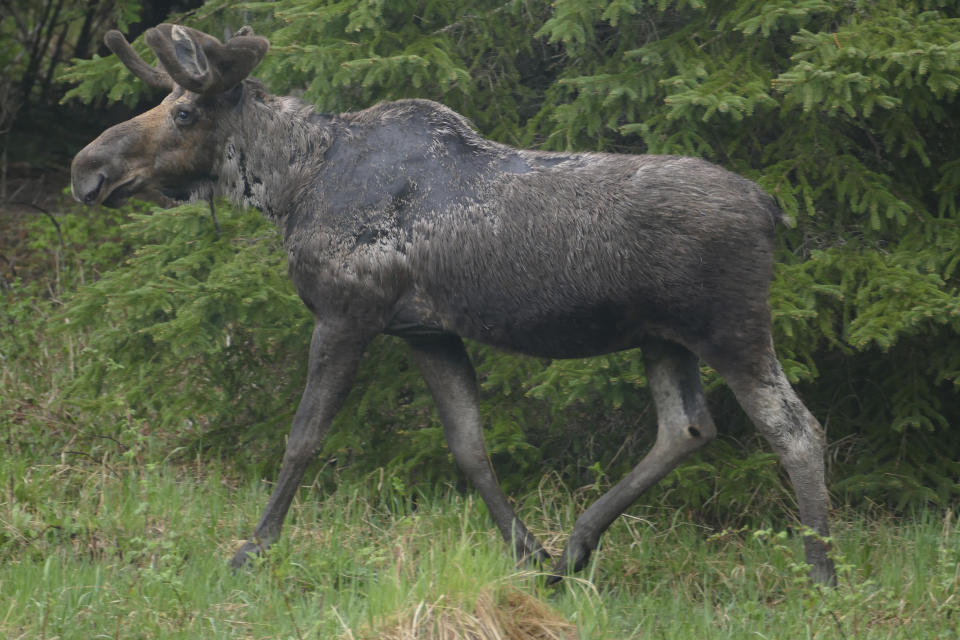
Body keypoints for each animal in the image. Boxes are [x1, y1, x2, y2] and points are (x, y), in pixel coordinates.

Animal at [73, 25, 840, 584]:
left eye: (183, 111)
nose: (87, 169)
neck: (292, 185)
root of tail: (772, 209)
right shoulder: (426, 333)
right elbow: (470, 447)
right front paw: (527, 553)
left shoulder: (347, 313)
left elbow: (303, 438)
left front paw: (252, 550)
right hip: (664, 337)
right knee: (685, 429)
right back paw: (573, 551)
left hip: (732, 328)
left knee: (796, 429)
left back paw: (822, 576)